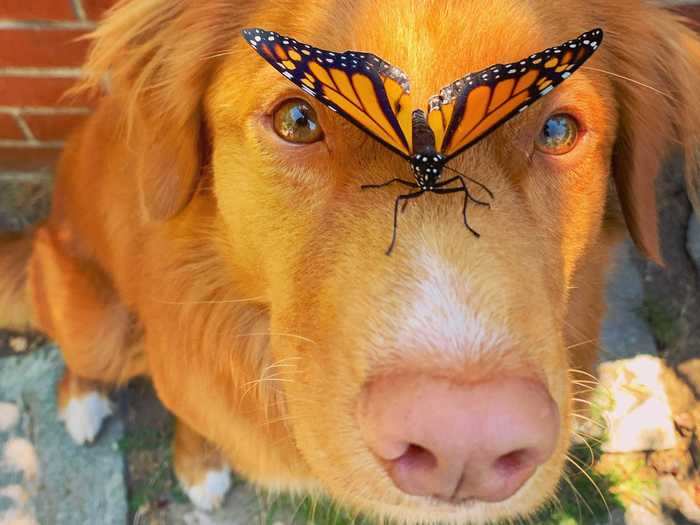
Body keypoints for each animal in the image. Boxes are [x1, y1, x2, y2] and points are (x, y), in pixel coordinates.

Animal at [1, 0, 700, 520]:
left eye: (557, 131)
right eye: (298, 120)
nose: (464, 447)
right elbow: (192, 416)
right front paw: (199, 464)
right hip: (98, 321)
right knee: (80, 358)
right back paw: (82, 401)